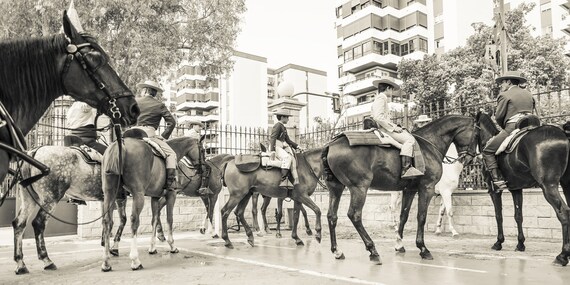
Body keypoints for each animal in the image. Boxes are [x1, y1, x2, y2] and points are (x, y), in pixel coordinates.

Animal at [100, 134, 204, 270]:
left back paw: (106, 261)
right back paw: (135, 260)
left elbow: (154, 219)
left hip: (110, 193)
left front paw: (152, 247)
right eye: (203, 150)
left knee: (107, 221)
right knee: (134, 220)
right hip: (138, 194)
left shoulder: (154, 197)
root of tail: (120, 143)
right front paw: (172, 245)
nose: (202, 168)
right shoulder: (171, 194)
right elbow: (169, 219)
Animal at [320, 114, 474, 262]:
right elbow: (422, 216)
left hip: (336, 187)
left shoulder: (410, 190)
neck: (429, 146)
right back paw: (372, 250)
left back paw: (337, 251)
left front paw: (399, 244)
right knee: (355, 215)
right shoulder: (427, 188)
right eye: (476, 132)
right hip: (359, 188)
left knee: (331, 216)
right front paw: (423, 248)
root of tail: (330, 145)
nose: (469, 159)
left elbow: (404, 215)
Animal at [474, 111, 568, 264]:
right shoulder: (516, 189)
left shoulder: (494, 190)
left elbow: (498, 215)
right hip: (566, 184)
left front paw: (498, 242)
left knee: (564, 212)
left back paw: (563, 255)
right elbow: (518, 216)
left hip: (549, 186)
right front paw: (520, 244)